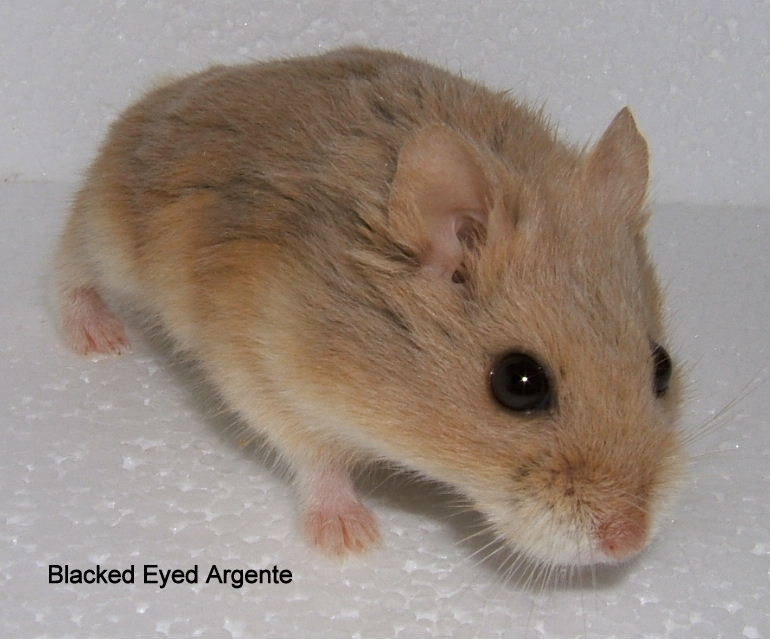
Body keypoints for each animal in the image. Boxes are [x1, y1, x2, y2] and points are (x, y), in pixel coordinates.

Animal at [53, 46, 684, 565]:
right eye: (518, 383)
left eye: (663, 367)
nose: (628, 542)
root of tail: (155, 97)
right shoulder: (263, 371)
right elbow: (317, 460)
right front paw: (352, 543)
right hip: (108, 235)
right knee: (70, 260)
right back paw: (100, 340)